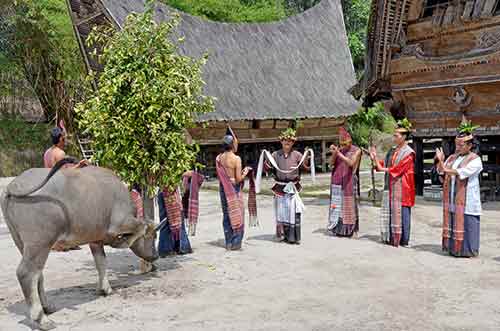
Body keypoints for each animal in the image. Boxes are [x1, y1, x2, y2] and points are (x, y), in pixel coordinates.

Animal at [0, 160, 160, 330]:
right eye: (154, 236)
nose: (156, 255)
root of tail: (13, 186)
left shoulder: (95, 240)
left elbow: (101, 262)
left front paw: (105, 289)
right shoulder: (121, 223)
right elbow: (141, 227)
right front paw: (121, 242)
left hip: (22, 243)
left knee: (37, 274)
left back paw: (47, 307)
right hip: (40, 243)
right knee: (26, 273)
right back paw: (41, 319)